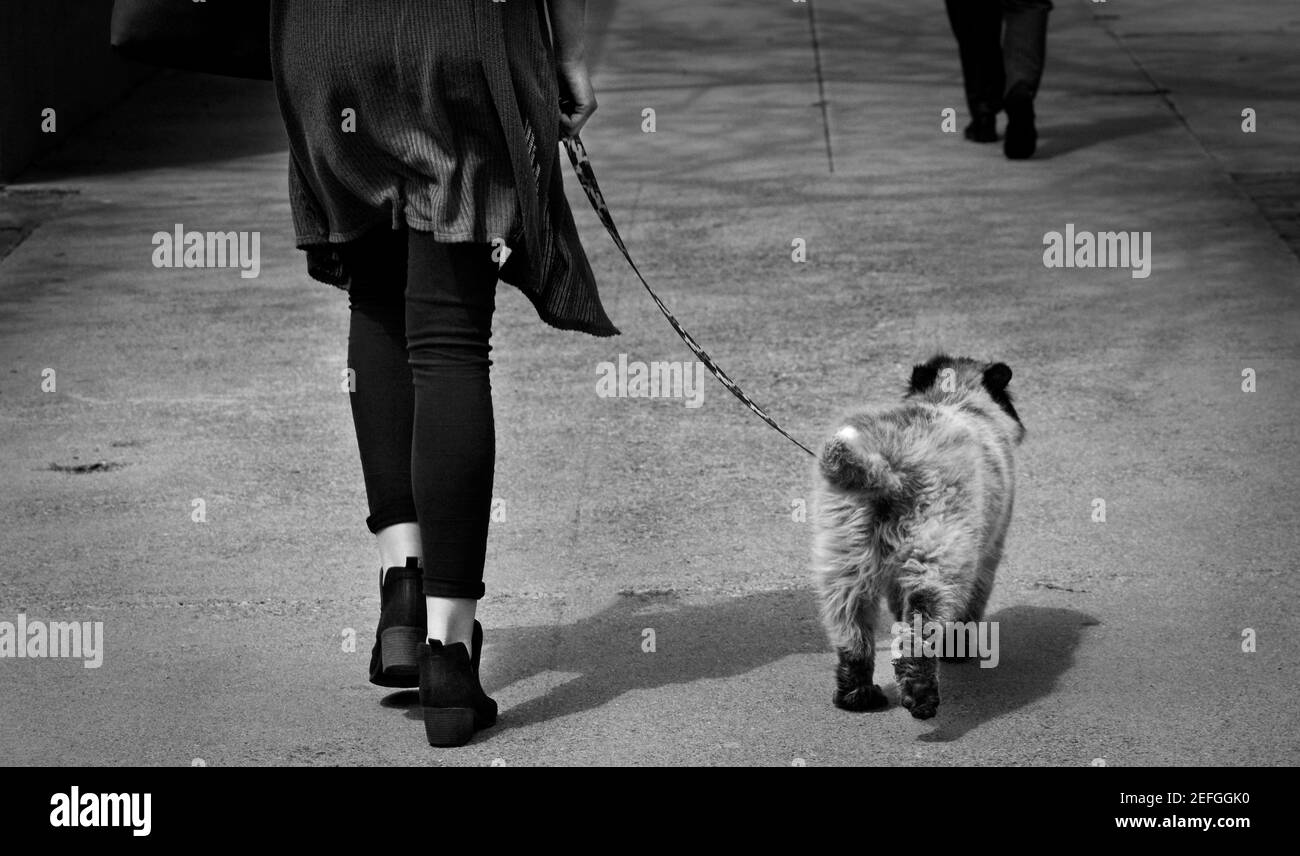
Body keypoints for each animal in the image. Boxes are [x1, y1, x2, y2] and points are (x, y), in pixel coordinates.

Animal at [811, 351, 1024, 718]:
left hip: (847, 556)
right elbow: (971, 603)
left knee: (852, 623)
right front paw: (958, 650)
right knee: (920, 625)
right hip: (936, 551)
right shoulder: (987, 554)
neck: (958, 398)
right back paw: (921, 695)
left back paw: (857, 694)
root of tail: (884, 466)